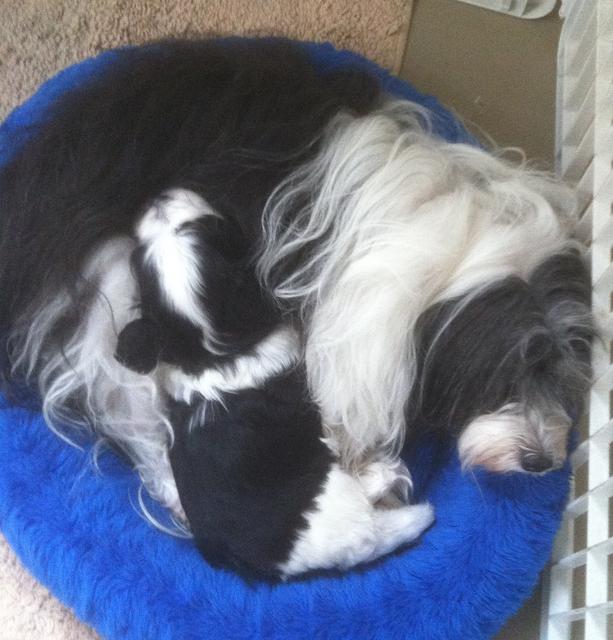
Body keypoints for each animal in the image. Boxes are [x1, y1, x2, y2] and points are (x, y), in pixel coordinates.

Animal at [0, 38, 594, 523]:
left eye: (566, 378)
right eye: (502, 381)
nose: (541, 460)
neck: (459, 263)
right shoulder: (359, 341)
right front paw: (370, 473)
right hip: (112, 281)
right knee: (125, 407)